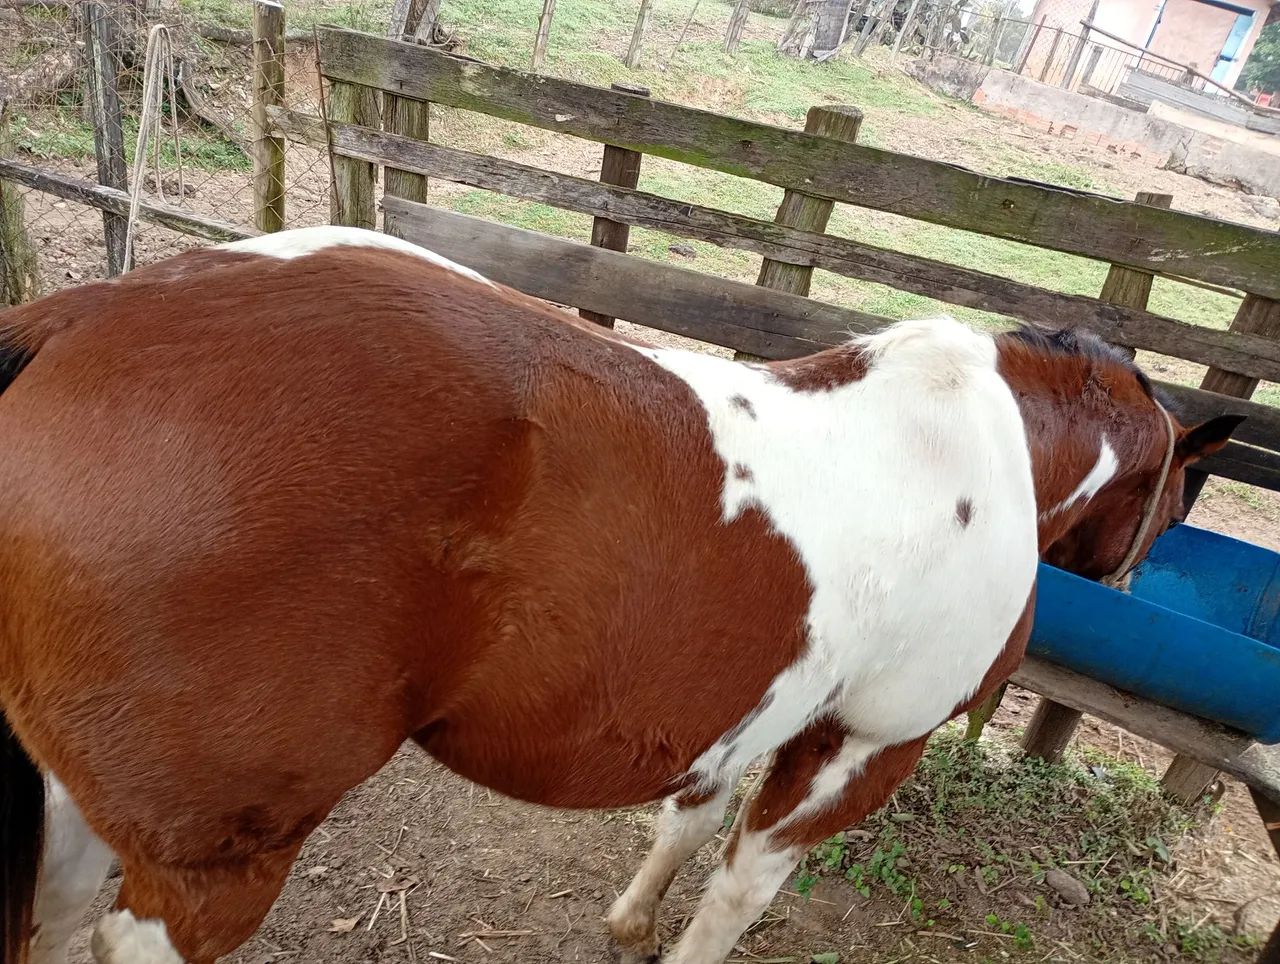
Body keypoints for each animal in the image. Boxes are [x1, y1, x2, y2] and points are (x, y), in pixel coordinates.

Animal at [0, 226, 1242, 964]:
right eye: (1172, 497)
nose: (1129, 573)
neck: (970, 453)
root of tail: (85, 318)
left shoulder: (748, 709)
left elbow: (685, 818)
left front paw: (632, 915)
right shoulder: (858, 747)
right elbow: (739, 889)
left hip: (90, 806)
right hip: (211, 863)